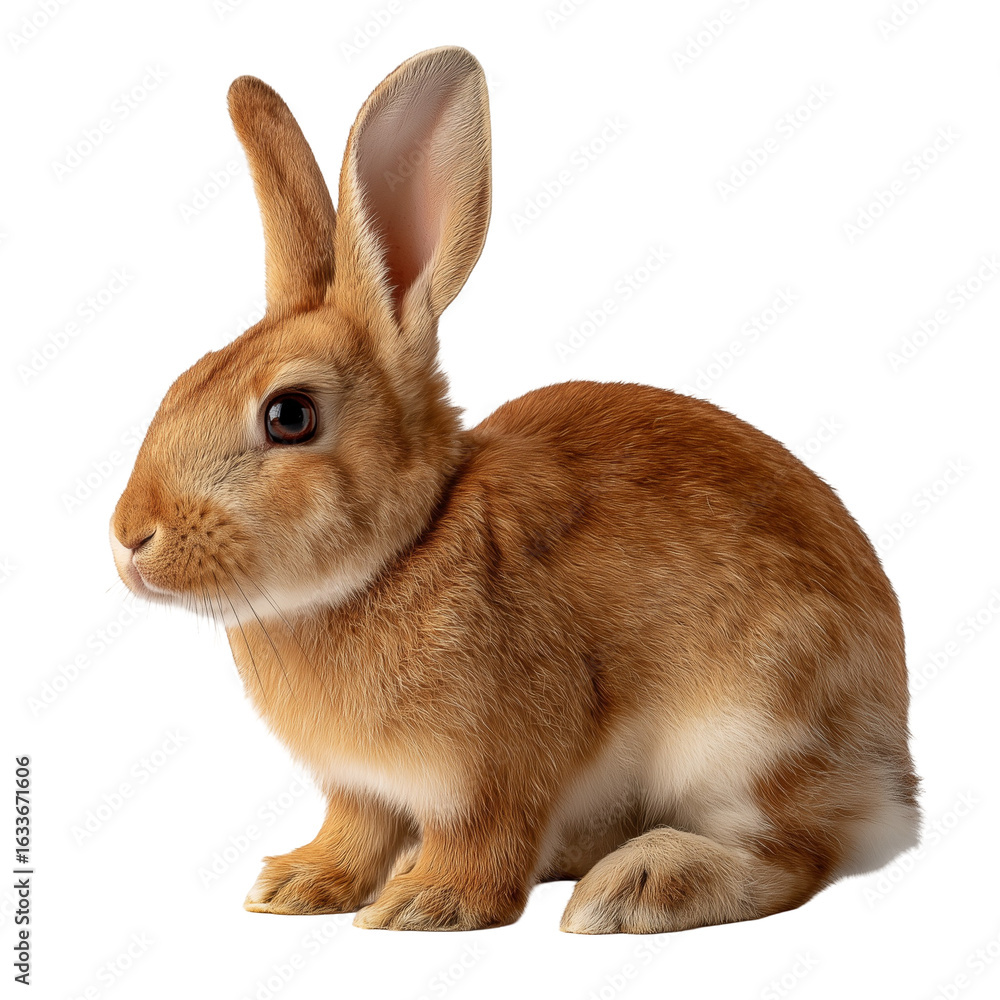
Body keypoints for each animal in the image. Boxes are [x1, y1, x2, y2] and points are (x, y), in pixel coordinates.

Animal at [110, 46, 920, 933]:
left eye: (290, 416)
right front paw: (297, 886)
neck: (408, 547)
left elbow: (484, 838)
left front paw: (425, 904)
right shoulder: (359, 789)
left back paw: (636, 885)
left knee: (796, 854)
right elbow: (354, 832)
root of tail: (891, 776)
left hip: (750, 730)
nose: (129, 537)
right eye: (184, 380)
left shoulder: (495, 768)